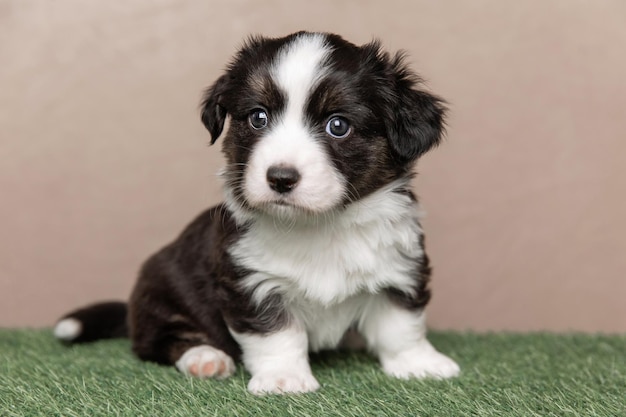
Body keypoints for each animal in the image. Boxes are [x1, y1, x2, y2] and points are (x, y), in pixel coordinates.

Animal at [56, 31, 458, 394]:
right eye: (258, 118)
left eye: (338, 125)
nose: (280, 178)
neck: (319, 226)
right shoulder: (252, 282)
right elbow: (277, 333)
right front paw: (284, 379)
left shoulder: (399, 268)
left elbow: (401, 326)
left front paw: (418, 364)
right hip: (161, 292)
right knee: (161, 341)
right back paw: (205, 357)